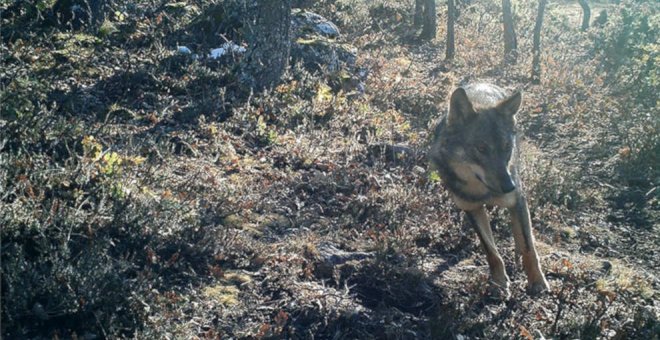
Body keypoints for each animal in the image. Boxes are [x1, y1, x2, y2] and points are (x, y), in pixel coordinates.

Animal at [430, 83, 548, 298]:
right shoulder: (472, 209)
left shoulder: (517, 200)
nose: (509, 186)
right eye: (481, 148)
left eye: (506, 147)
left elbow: (528, 247)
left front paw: (537, 282)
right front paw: (499, 283)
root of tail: (484, 82)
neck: (482, 192)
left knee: (522, 235)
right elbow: (491, 251)